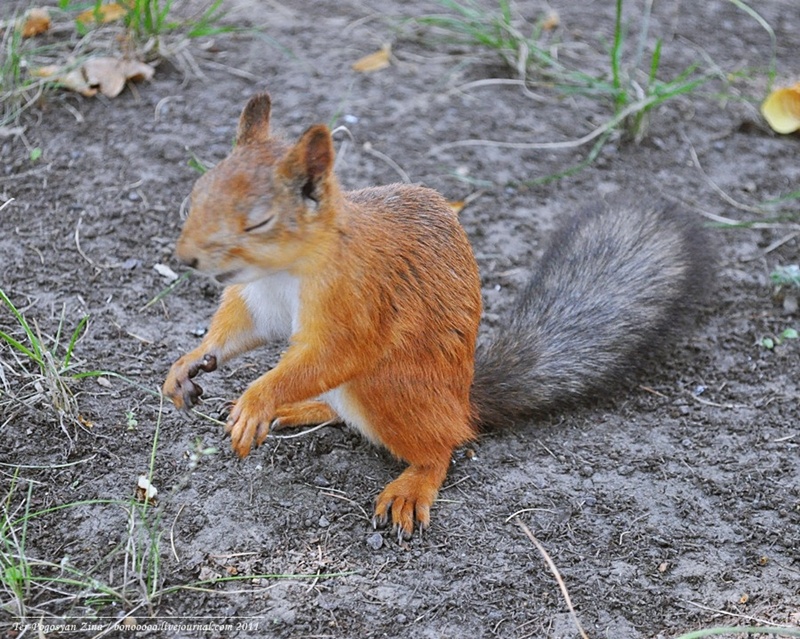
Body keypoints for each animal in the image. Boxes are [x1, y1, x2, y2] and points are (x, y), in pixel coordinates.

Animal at [162, 91, 712, 540]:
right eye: (195, 195)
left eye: (258, 221)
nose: (186, 258)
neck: (284, 270)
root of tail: (461, 403)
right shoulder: (257, 300)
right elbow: (239, 330)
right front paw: (188, 365)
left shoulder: (357, 300)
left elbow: (334, 353)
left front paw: (257, 400)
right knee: (343, 411)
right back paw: (304, 408)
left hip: (391, 387)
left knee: (440, 445)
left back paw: (412, 481)